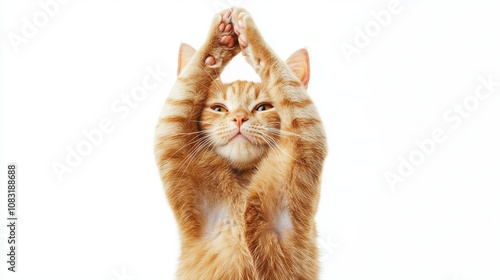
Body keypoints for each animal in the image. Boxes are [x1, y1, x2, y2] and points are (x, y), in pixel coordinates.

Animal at [156, 7, 328, 278]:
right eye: (218, 108)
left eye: (263, 107)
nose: (238, 118)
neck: (244, 184)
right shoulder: (171, 136)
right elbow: (190, 79)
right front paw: (220, 38)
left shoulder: (305, 136)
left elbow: (280, 74)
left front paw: (248, 35)